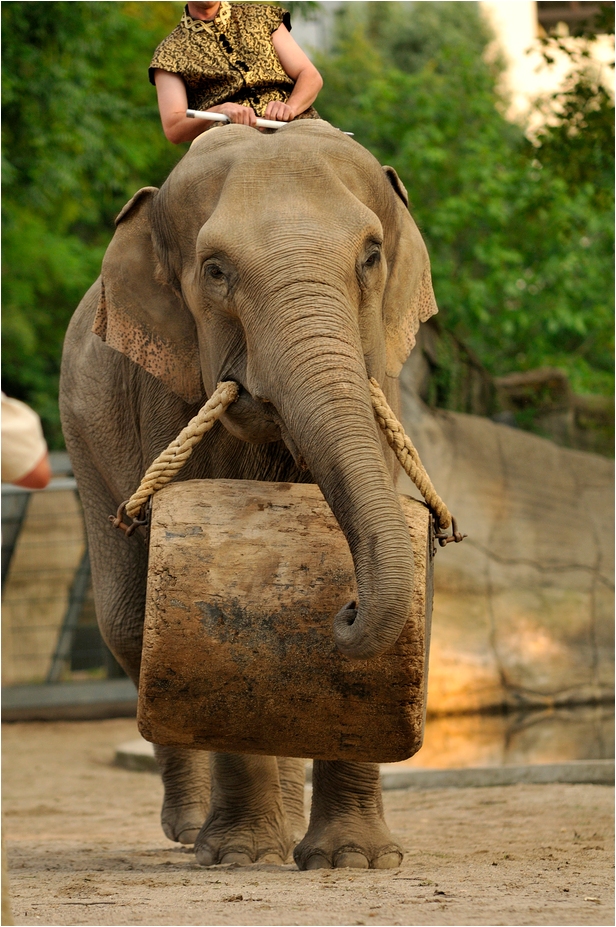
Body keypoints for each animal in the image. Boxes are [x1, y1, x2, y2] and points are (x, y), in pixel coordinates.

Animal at [59, 119, 438, 870]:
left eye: (371, 256)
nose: (346, 609)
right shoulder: (168, 390)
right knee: (129, 622)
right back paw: (195, 832)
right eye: (215, 271)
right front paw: (242, 857)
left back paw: (285, 831)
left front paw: (354, 862)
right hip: (82, 436)